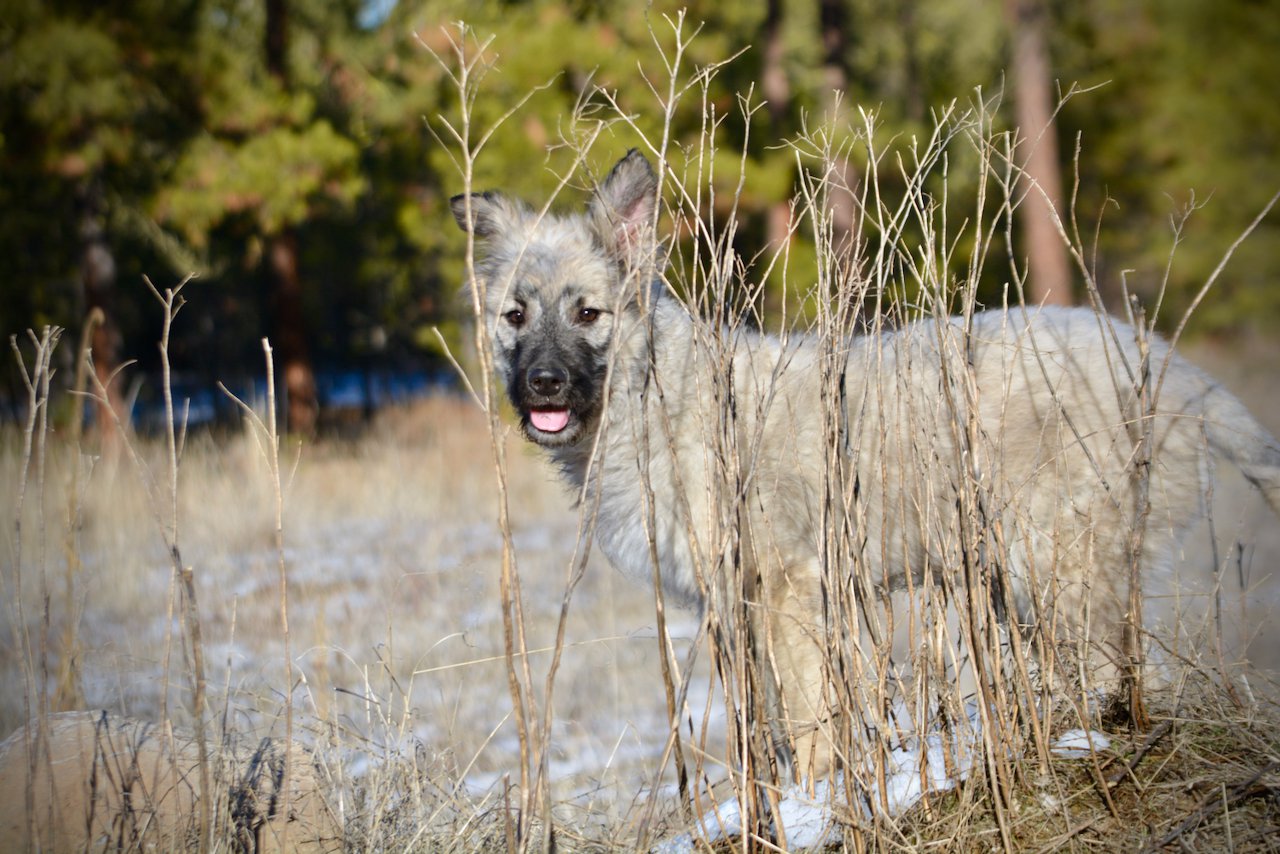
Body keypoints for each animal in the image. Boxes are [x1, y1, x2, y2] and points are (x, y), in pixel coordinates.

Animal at [453, 150, 1280, 793]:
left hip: (1060, 569)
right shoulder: (735, 609)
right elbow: (768, 720)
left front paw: (817, 796)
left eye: (587, 314)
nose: (543, 386)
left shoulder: (789, 591)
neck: (659, 393)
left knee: (1116, 674)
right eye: (515, 317)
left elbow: (810, 716)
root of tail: (1175, 371)